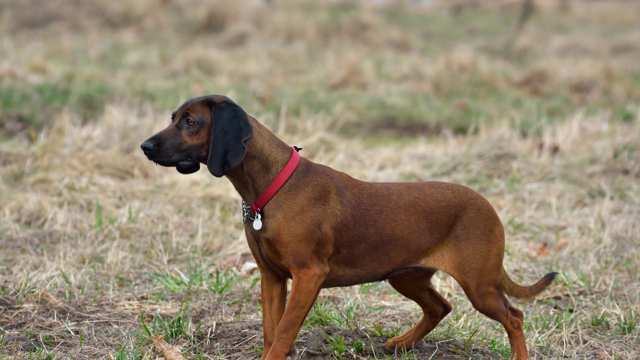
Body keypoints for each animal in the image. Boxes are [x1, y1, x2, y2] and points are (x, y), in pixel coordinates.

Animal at [140, 95, 556, 360]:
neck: (273, 187)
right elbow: (271, 332)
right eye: (173, 117)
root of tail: (487, 206)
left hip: (479, 284)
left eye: (191, 122)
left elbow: (284, 332)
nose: (144, 146)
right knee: (441, 306)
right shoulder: (271, 278)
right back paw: (400, 344)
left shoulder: (308, 276)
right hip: (406, 276)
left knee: (514, 317)